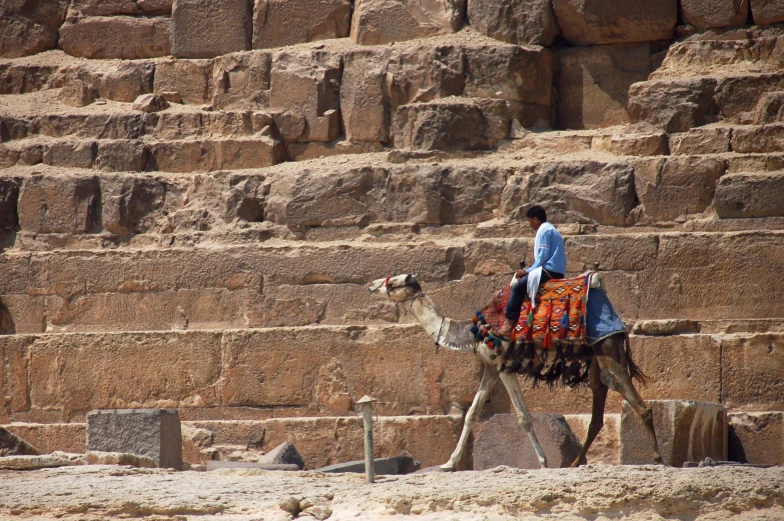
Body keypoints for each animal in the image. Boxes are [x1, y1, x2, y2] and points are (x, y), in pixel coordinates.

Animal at [368, 274, 660, 470]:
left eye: (393, 283)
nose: (371, 285)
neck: (473, 331)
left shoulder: (503, 365)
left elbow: (524, 416)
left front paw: (542, 461)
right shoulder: (489, 366)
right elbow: (472, 414)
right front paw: (449, 463)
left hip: (607, 348)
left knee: (628, 393)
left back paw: (657, 458)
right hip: (597, 357)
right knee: (598, 409)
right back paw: (575, 463)